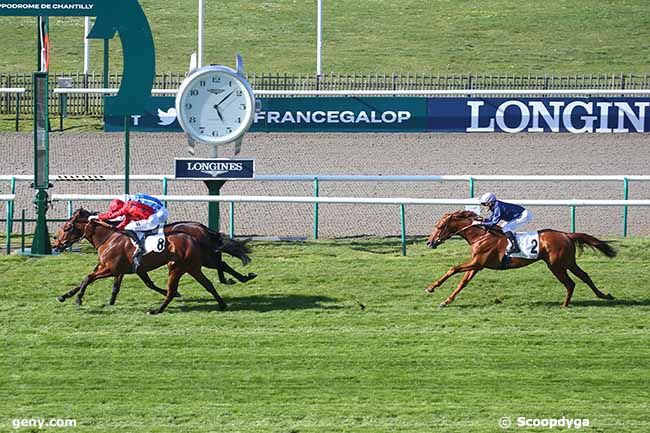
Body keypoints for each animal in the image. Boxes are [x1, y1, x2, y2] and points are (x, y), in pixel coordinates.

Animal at [52, 208, 253, 312]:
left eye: (67, 227)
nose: (55, 242)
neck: (109, 237)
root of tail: (202, 228)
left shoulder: (112, 269)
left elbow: (88, 278)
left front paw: (78, 299)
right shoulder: (130, 268)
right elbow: (137, 284)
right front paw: (65, 295)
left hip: (198, 261)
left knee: (221, 264)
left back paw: (240, 278)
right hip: (196, 263)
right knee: (216, 271)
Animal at [422, 210, 616, 308]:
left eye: (439, 226)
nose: (429, 242)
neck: (481, 235)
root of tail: (566, 234)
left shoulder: (478, 262)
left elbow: (452, 269)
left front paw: (431, 288)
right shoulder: (477, 265)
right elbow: (462, 283)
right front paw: (446, 300)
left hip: (556, 266)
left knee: (571, 283)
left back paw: (564, 305)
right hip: (568, 262)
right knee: (585, 276)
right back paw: (604, 295)